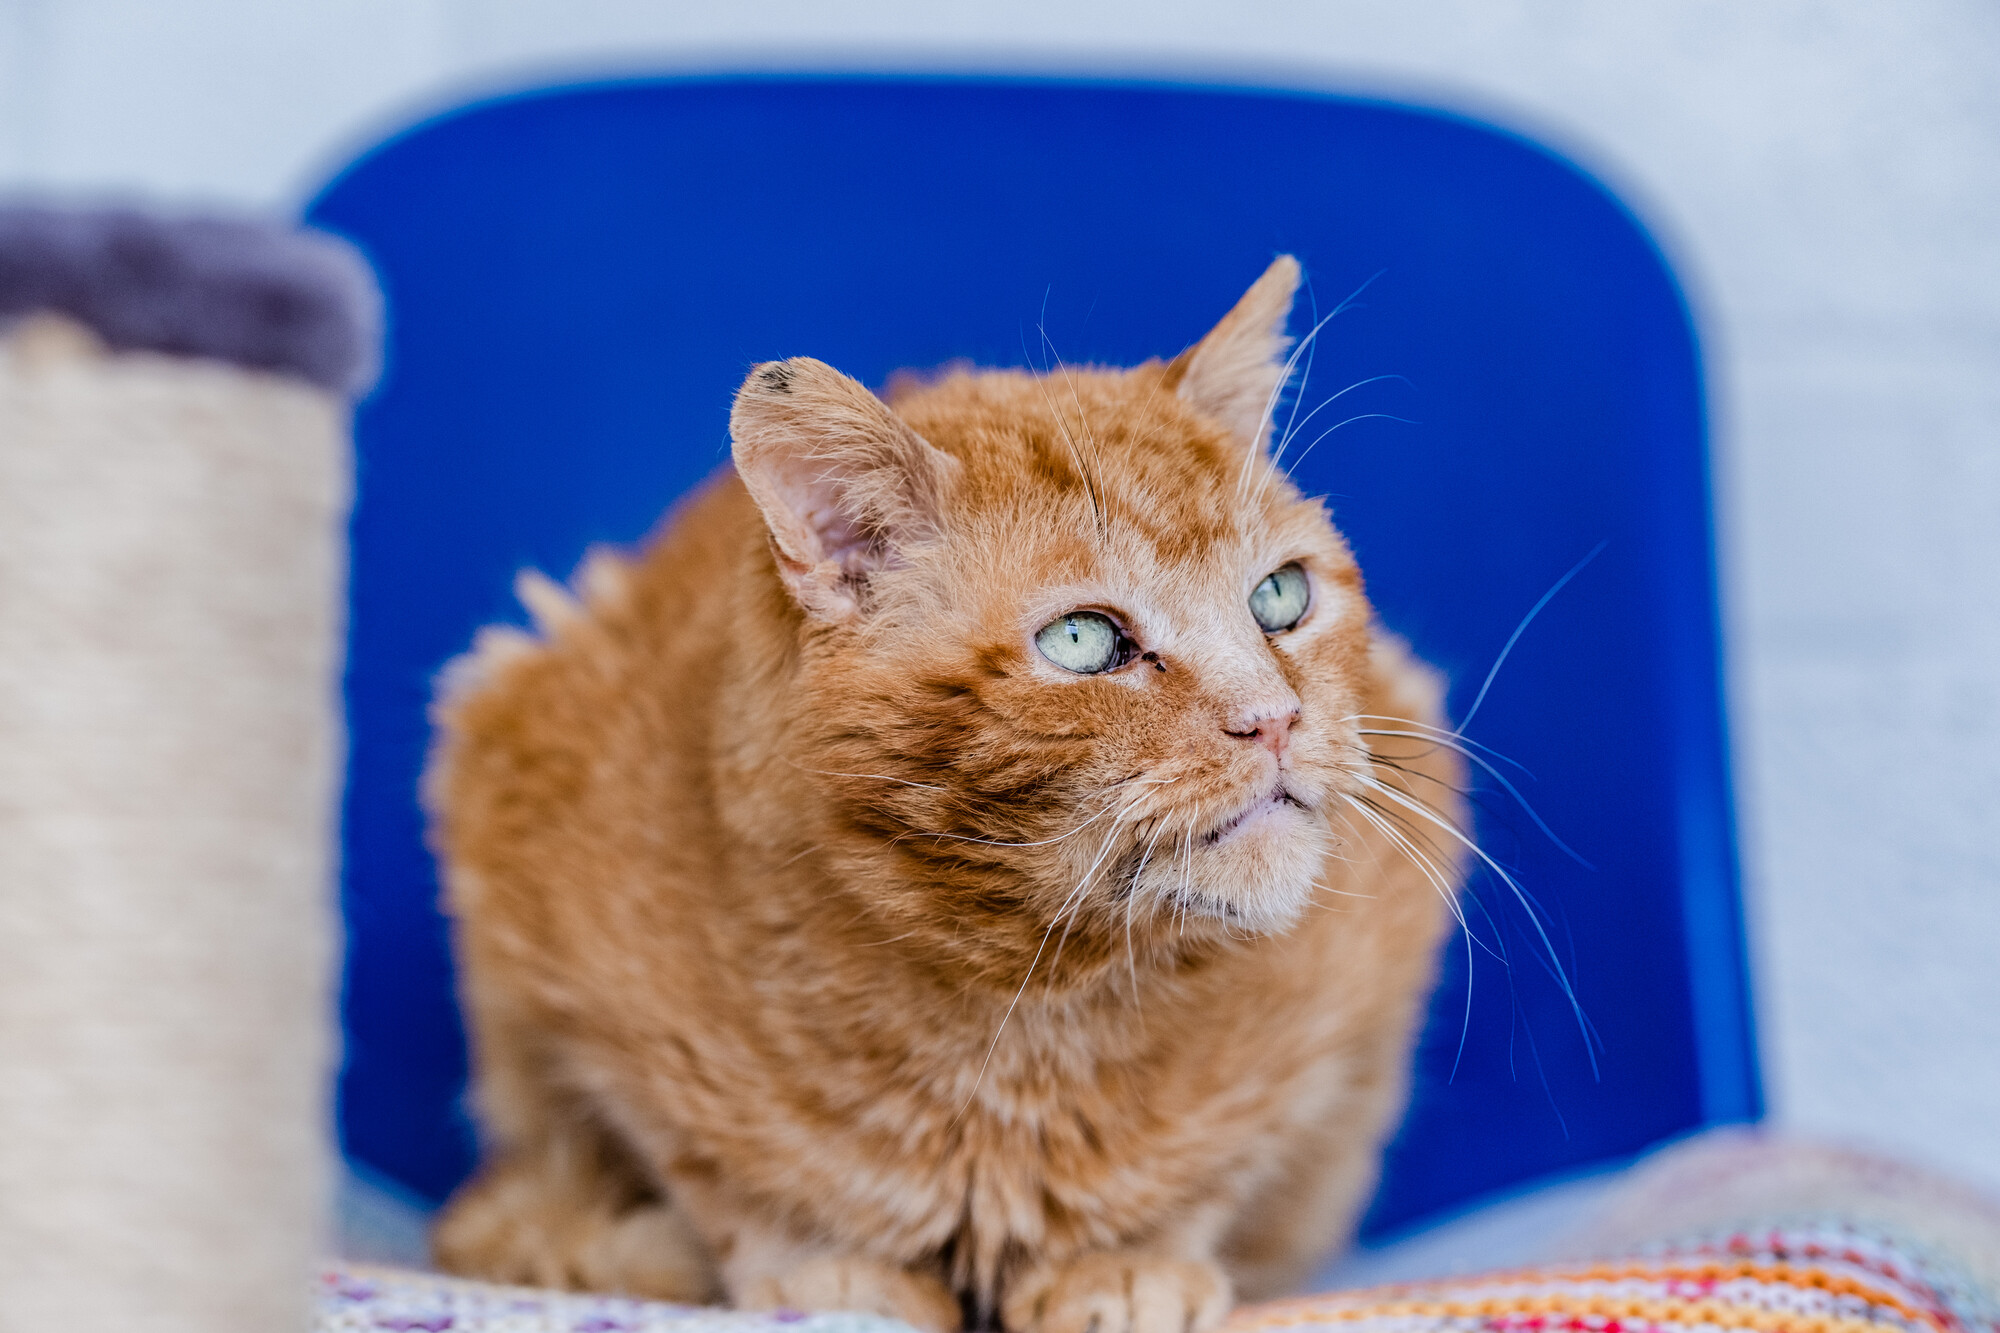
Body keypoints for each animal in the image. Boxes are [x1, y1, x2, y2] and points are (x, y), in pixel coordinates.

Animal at [426, 260, 1472, 1328]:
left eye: (1279, 596)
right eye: (1082, 641)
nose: (1274, 718)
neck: (1020, 1021)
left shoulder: (1347, 1021)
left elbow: (1227, 1169)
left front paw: (1127, 1260)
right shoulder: (567, 970)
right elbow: (722, 1180)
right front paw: (834, 1272)